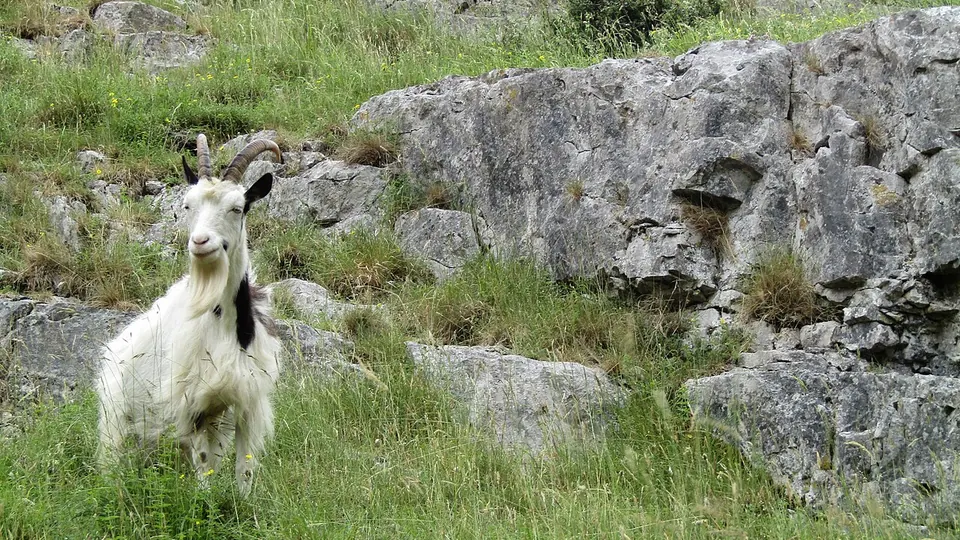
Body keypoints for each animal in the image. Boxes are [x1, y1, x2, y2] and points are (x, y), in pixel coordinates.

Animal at [96, 134, 282, 497]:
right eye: (187, 205)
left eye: (238, 207)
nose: (200, 241)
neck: (223, 325)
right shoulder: (191, 402)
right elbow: (204, 463)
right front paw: (206, 502)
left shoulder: (246, 400)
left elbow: (244, 466)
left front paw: (244, 503)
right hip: (118, 420)